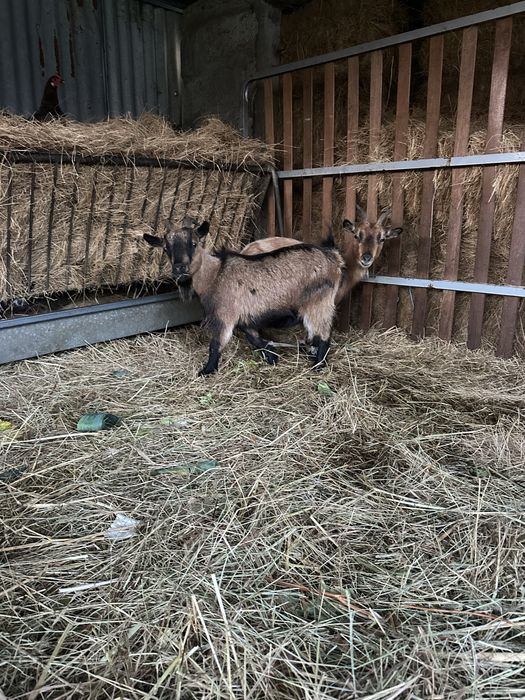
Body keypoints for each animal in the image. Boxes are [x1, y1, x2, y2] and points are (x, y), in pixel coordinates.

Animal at [144, 217, 344, 375]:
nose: (179, 268)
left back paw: (318, 365)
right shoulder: (245, 316)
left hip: (318, 302)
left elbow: (216, 344)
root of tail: (333, 256)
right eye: (165, 248)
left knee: (324, 334)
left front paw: (207, 370)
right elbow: (253, 337)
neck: (215, 275)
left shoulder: (225, 315)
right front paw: (271, 356)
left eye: (193, 243)